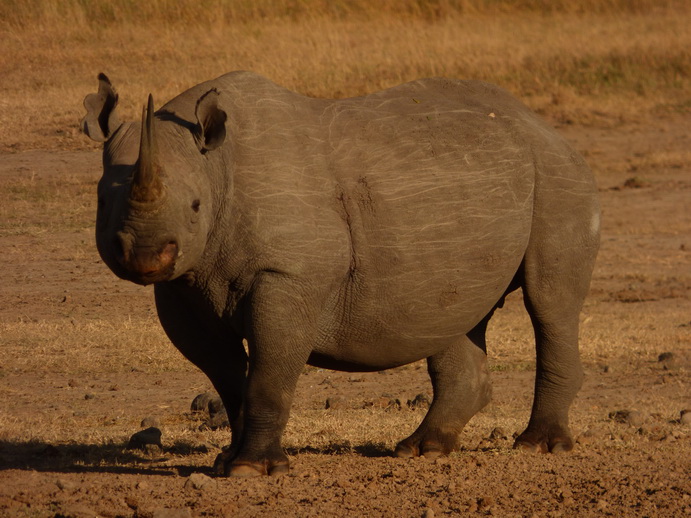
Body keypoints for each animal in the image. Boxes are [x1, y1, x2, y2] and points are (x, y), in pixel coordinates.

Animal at [81, 71, 600, 478]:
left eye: (194, 206)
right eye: (102, 203)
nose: (145, 256)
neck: (218, 170)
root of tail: (544, 126)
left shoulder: (288, 275)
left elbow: (269, 372)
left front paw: (254, 469)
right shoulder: (182, 286)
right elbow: (226, 375)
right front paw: (227, 462)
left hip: (558, 175)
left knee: (549, 303)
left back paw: (538, 445)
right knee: (454, 311)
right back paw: (422, 450)